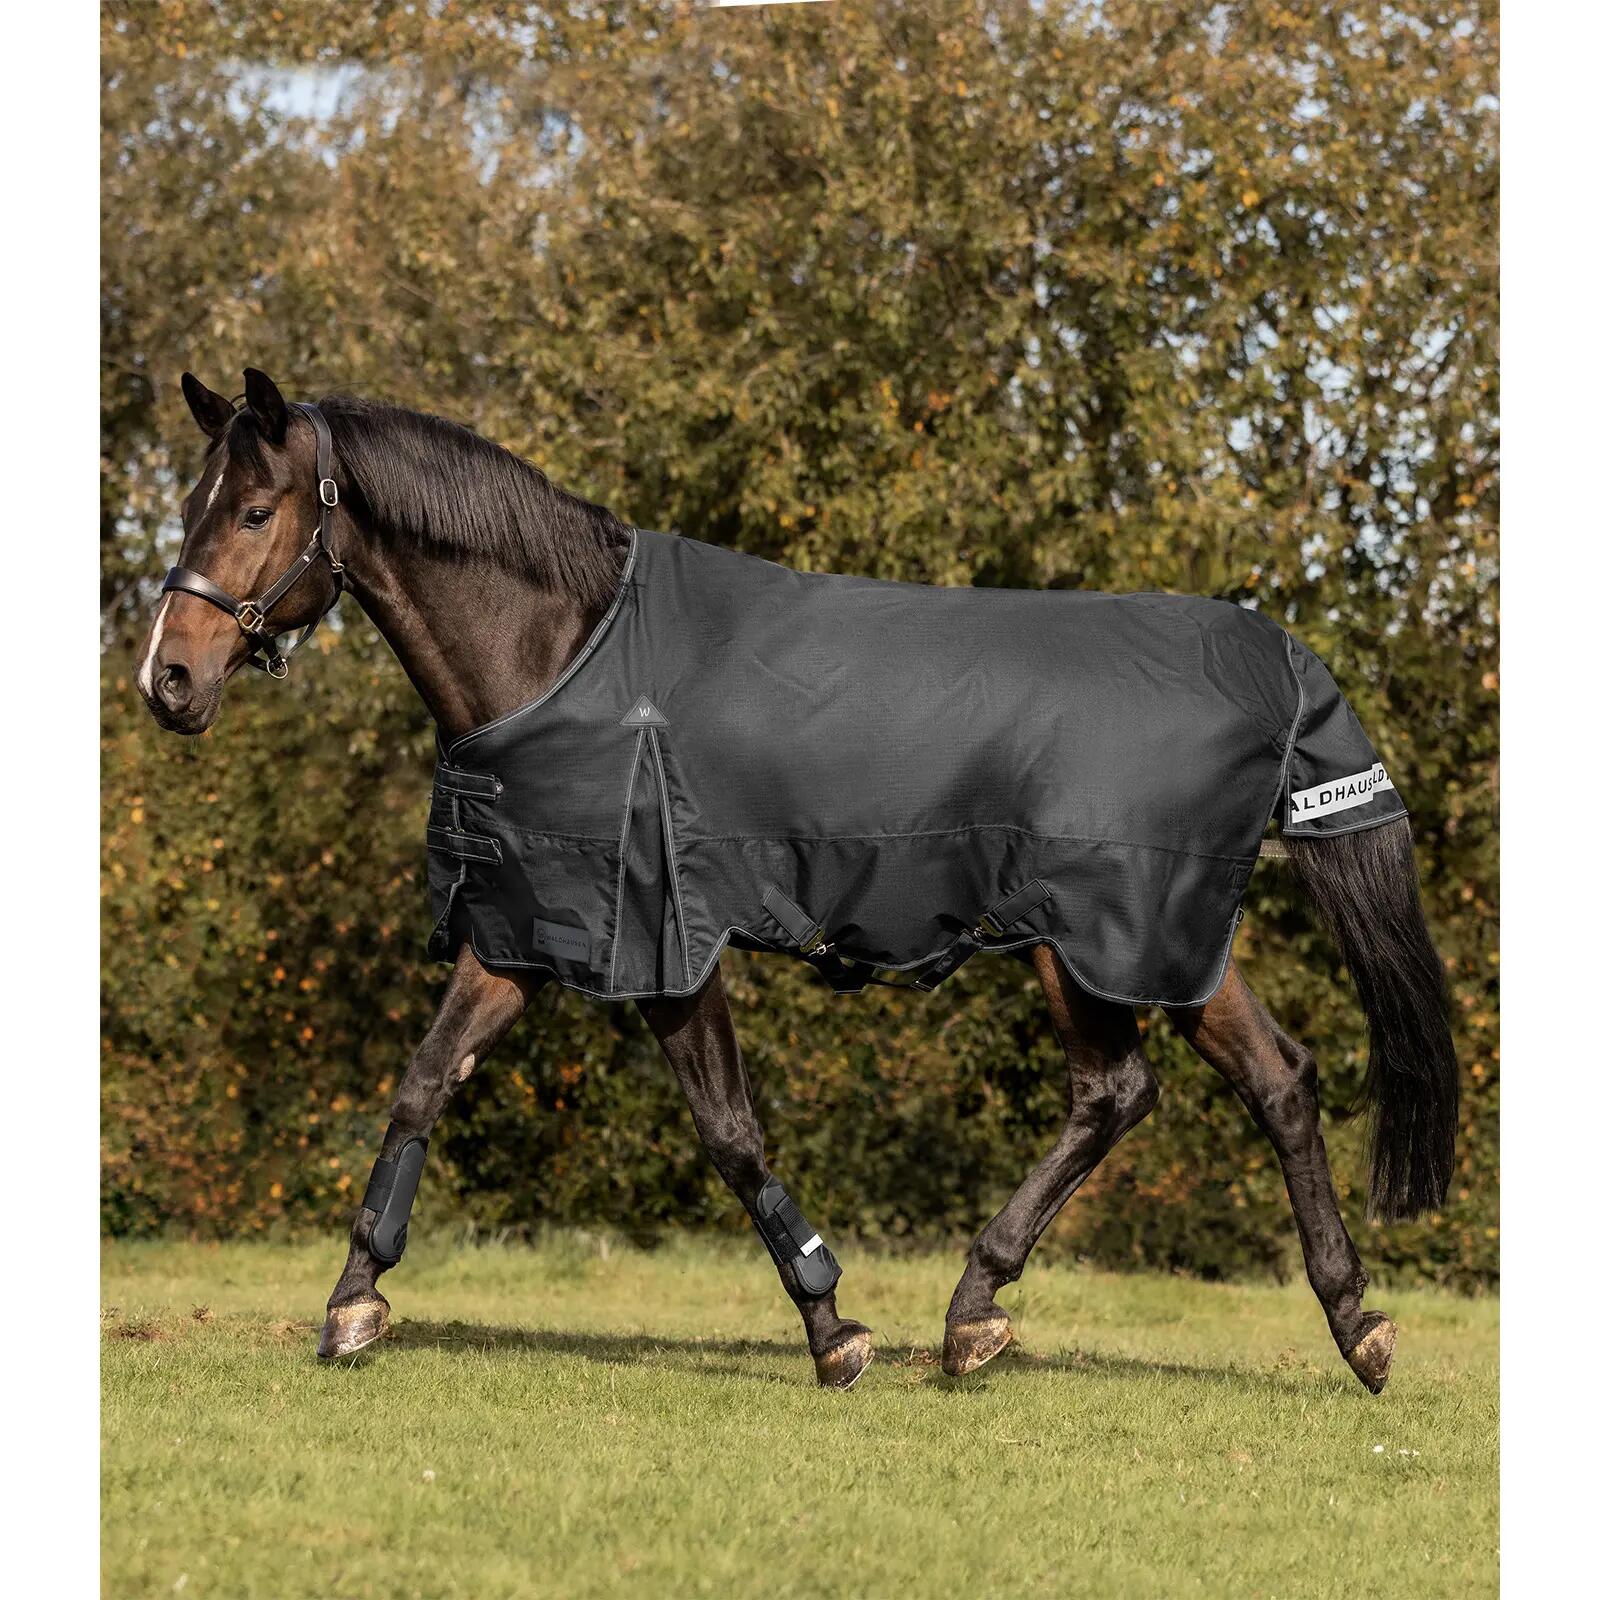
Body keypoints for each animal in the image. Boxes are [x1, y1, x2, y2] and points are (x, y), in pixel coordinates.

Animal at [135, 368, 1458, 1393]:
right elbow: (422, 1082)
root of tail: (1272, 660)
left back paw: (992, 1310)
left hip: (1102, 935)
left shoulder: (666, 943)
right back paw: (1331, 1322)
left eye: (252, 508)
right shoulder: (526, 930)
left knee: (1130, 1090)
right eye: (190, 502)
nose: (168, 679)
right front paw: (352, 1302)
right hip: (1147, 942)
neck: (567, 656)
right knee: (1253, 1081)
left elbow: (728, 1131)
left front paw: (833, 1327)